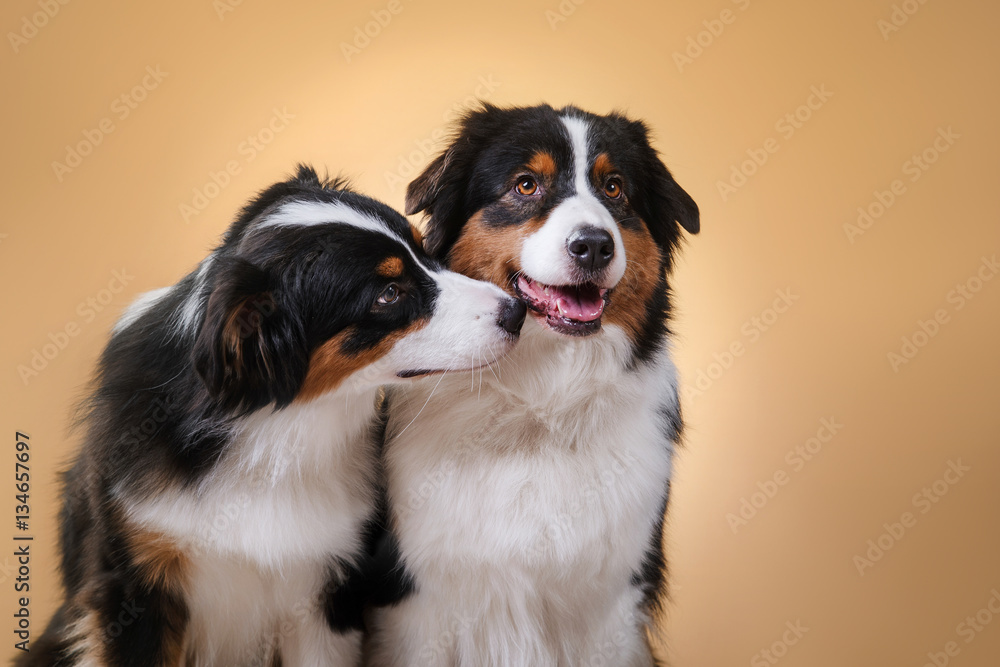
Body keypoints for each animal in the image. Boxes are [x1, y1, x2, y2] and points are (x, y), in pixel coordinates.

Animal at [366, 107, 696, 664]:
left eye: (615, 188)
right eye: (526, 184)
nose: (593, 245)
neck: (541, 401)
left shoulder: (611, 604)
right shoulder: (419, 604)